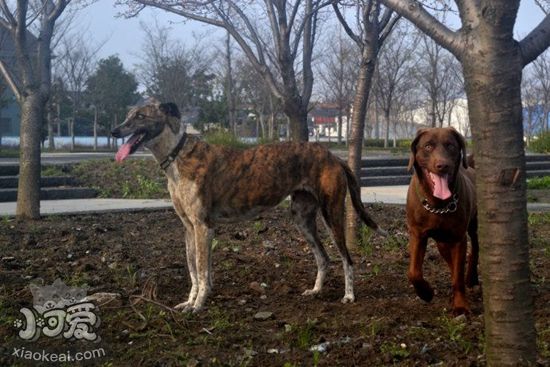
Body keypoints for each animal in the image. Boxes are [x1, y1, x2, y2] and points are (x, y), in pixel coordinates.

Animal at [112, 98, 386, 314]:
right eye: (128, 114)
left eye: (140, 116)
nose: (114, 131)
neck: (178, 156)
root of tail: (333, 156)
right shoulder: (190, 229)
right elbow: (195, 271)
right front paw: (191, 301)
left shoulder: (202, 227)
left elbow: (200, 269)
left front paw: (198, 305)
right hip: (301, 217)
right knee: (324, 258)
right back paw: (315, 290)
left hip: (332, 215)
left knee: (346, 258)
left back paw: (349, 295)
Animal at [408, 128, 480, 314]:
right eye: (427, 146)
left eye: (451, 146)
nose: (442, 165)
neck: (437, 204)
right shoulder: (417, 234)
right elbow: (413, 272)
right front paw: (426, 293)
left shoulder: (458, 238)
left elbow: (458, 277)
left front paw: (460, 306)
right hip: (441, 241)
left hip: (473, 224)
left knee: (475, 248)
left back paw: (471, 278)